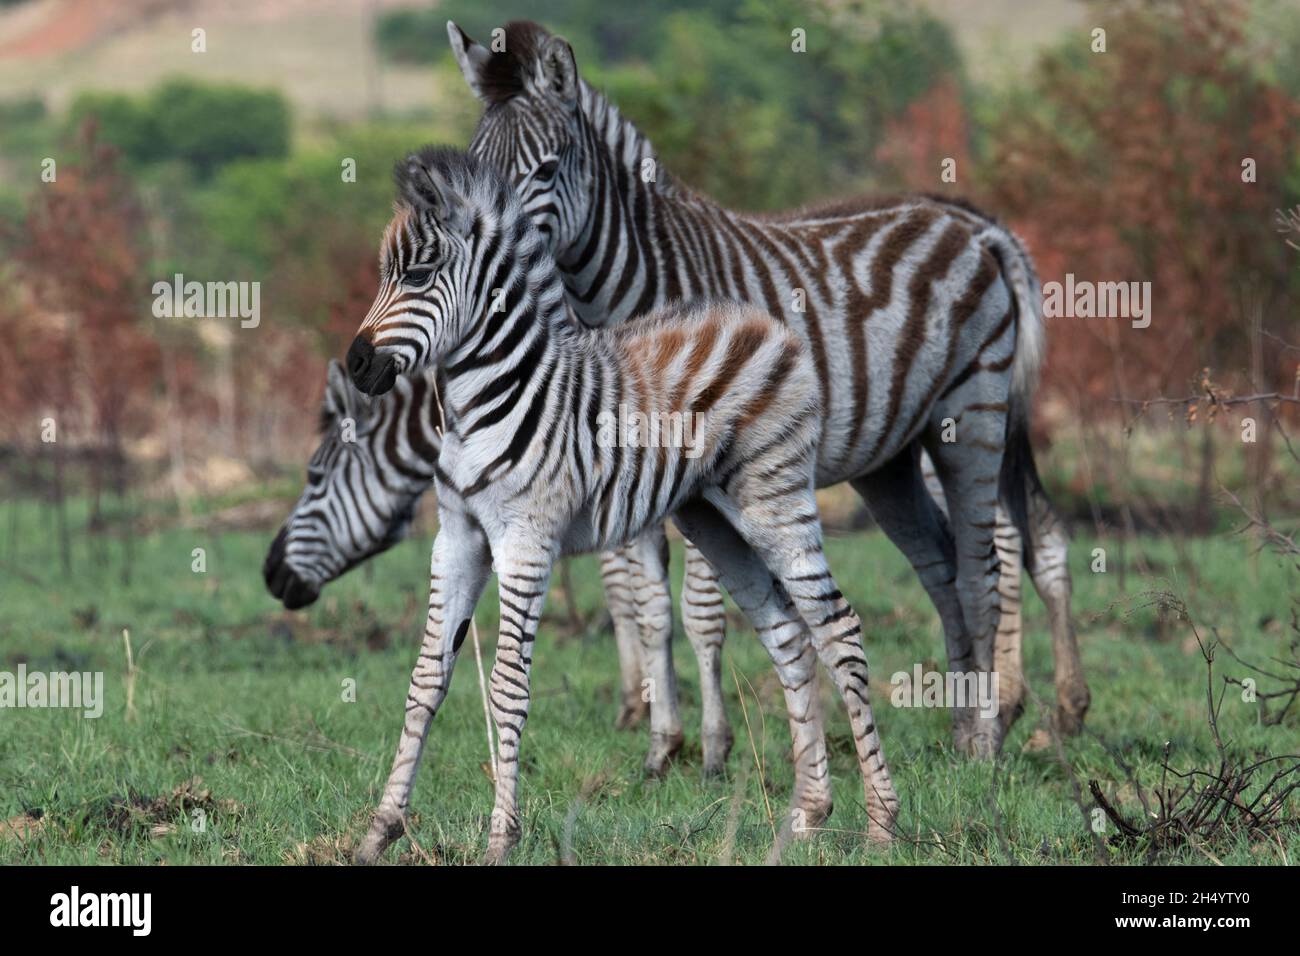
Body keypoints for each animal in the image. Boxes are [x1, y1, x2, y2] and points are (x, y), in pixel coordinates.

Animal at [345, 143, 915, 868]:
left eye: (420, 274)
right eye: (387, 274)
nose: (357, 365)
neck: (483, 407)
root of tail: (764, 322)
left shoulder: (526, 541)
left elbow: (507, 688)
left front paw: (502, 836)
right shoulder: (458, 538)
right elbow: (425, 682)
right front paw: (380, 830)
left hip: (775, 500)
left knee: (837, 627)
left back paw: (882, 822)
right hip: (715, 520)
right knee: (788, 634)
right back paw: (808, 815)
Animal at [447, 18, 1086, 759]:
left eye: (547, 170)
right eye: (471, 168)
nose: (491, 264)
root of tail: (974, 226)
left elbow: (700, 609)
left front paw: (715, 748)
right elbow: (649, 603)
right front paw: (664, 745)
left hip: (972, 414)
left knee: (990, 564)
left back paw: (990, 735)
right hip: (891, 457)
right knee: (950, 563)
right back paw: (969, 725)